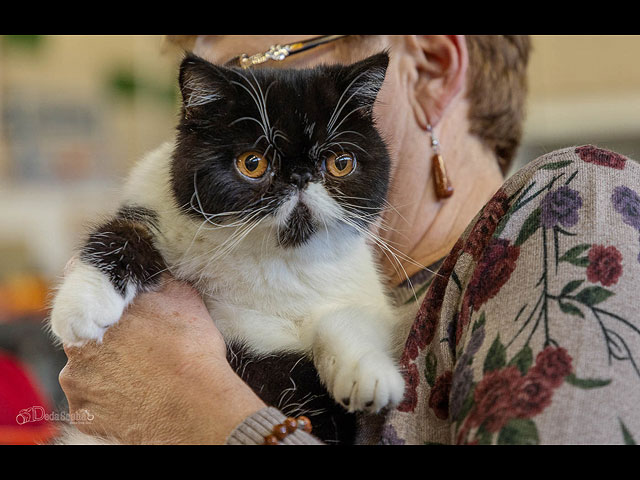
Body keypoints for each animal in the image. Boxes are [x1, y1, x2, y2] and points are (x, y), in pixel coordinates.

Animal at [52, 50, 408, 444]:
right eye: (252, 163)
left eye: (340, 163)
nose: (300, 177)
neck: (270, 260)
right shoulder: (150, 213)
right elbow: (123, 234)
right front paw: (81, 307)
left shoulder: (365, 294)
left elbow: (348, 317)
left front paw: (371, 378)